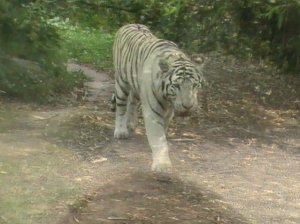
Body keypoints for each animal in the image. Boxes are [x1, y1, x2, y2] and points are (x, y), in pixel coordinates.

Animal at [111, 23, 205, 172]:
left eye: (195, 85)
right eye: (176, 86)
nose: (188, 106)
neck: (167, 98)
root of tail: (129, 24)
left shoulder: (168, 112)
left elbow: (162, 134)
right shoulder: (152, 112)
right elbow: (158, 137)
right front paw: (162, 165)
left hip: (135, 85)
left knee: (132, 101)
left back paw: (131, 123)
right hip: (121, 82)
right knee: (121, 108)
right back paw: (121, 131)